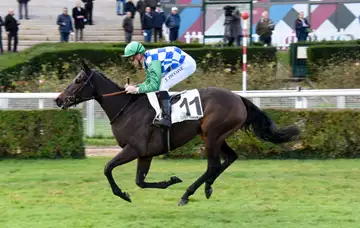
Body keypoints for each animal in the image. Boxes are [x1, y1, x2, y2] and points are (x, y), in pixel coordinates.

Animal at [54, 61, 300, 207]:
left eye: (78, 80)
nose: (58, 99)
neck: (127, 108)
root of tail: (239, 98)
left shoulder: (134, 149)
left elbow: (108, 168)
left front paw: (123, 194)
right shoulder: (145, 153)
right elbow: (140, 181)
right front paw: (169, 181)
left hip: (211, 134)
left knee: (213, 164)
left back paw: (187, 194)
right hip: (217, 135)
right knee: (229, 158)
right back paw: (207, 187)